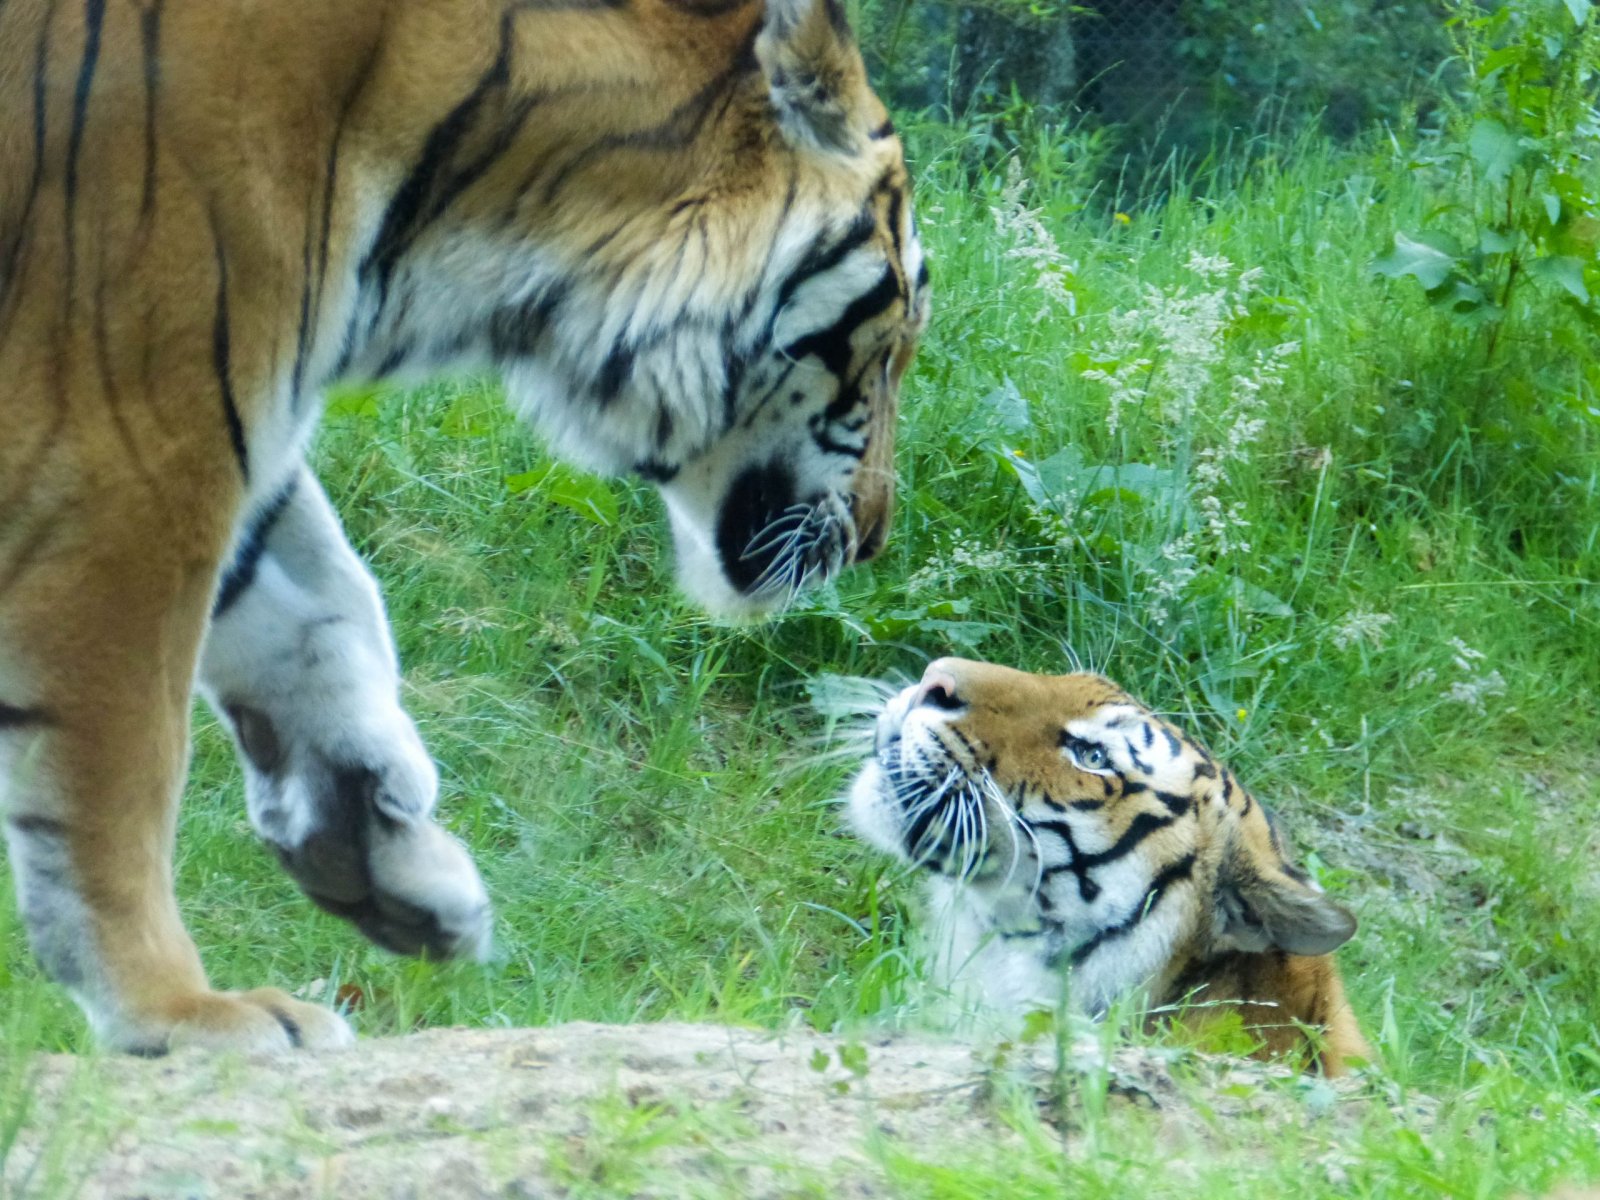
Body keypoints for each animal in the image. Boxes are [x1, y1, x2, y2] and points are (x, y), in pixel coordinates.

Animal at [0, 0, 928, 1049]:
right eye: (893, 343)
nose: (876, 533)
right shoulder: (132, 454)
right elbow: (119, 778)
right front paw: (177, 1009)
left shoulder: (222, 433)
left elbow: (325, 607)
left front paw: (379, 858)